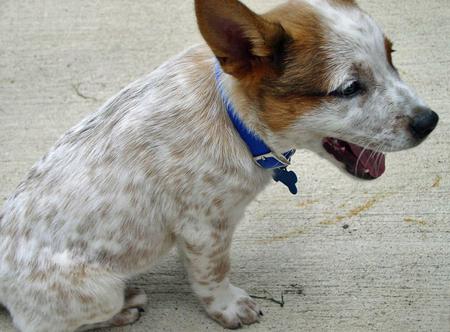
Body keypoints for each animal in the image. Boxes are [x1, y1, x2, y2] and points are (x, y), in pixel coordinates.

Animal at [0, 0, 438, 332]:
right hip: (97, 291)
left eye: (392, 59)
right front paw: (228, 306)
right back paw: (124, 308)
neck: (234, 120)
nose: (430, 121)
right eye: (349, 88)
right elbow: (213, 275)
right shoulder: (204, 227)